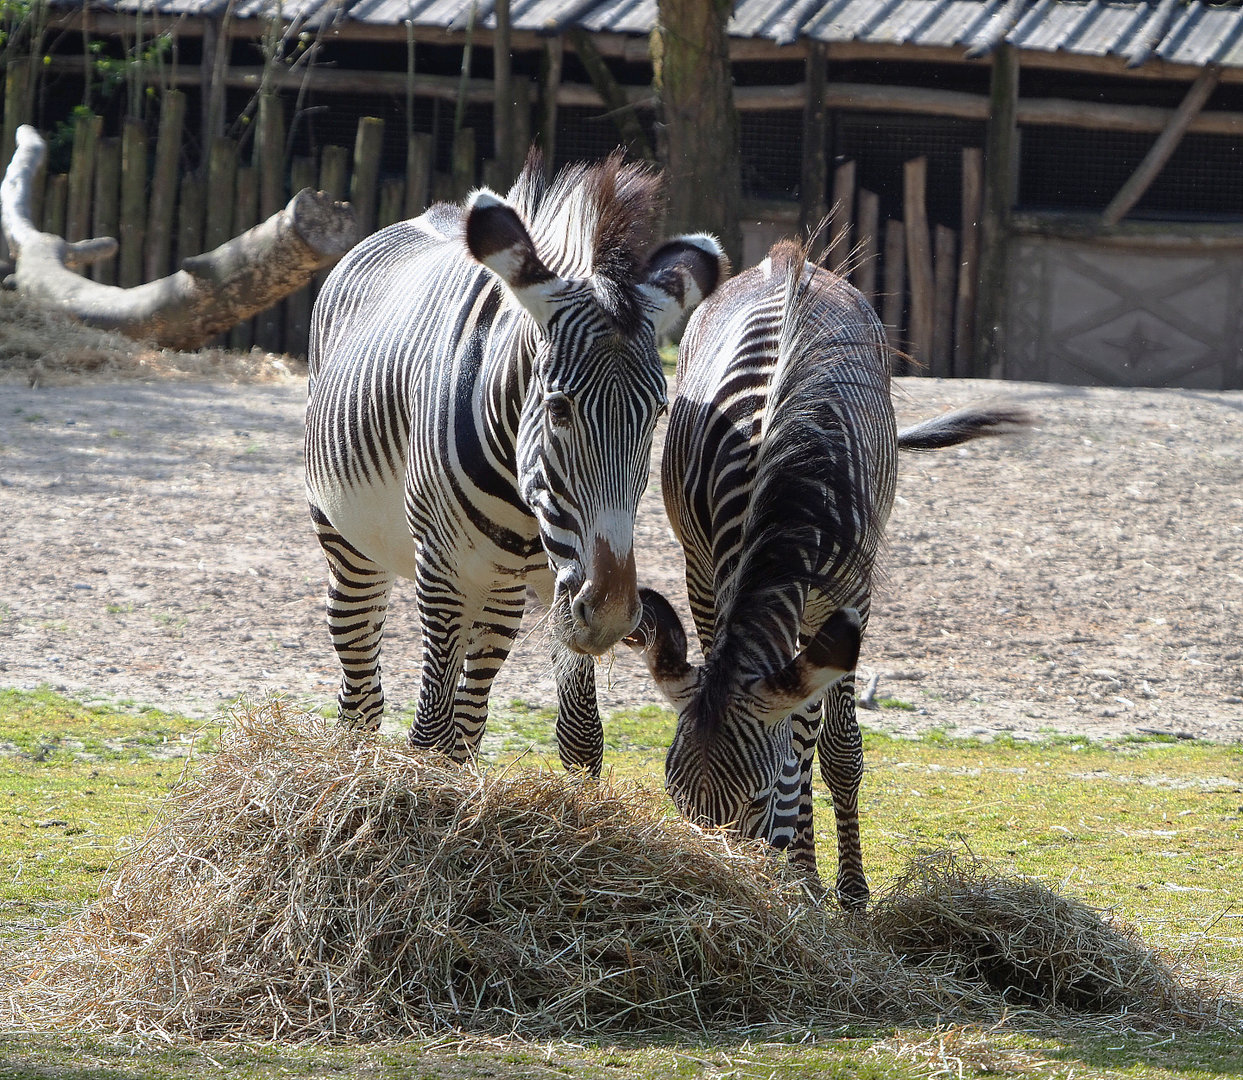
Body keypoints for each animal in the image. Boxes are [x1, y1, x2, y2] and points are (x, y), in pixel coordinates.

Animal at [304, 151, 727, 774]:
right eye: (558, 408)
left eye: (658, 412)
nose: (612, 613)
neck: (524, 502)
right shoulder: (441, 566)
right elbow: (428, 732)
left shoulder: (559, 579)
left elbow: (580, 736)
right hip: (350, 540)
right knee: (363, 689)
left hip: (498, 588)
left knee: (468, 714)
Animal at [624, 239, 1027, 909]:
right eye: (678, 802)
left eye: (756, 799)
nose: (718, 883)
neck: (776, 476)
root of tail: (787, 261)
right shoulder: (704, 574)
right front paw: (798, 871)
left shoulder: (849, 593)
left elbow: (833, 747)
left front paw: (842, 889)